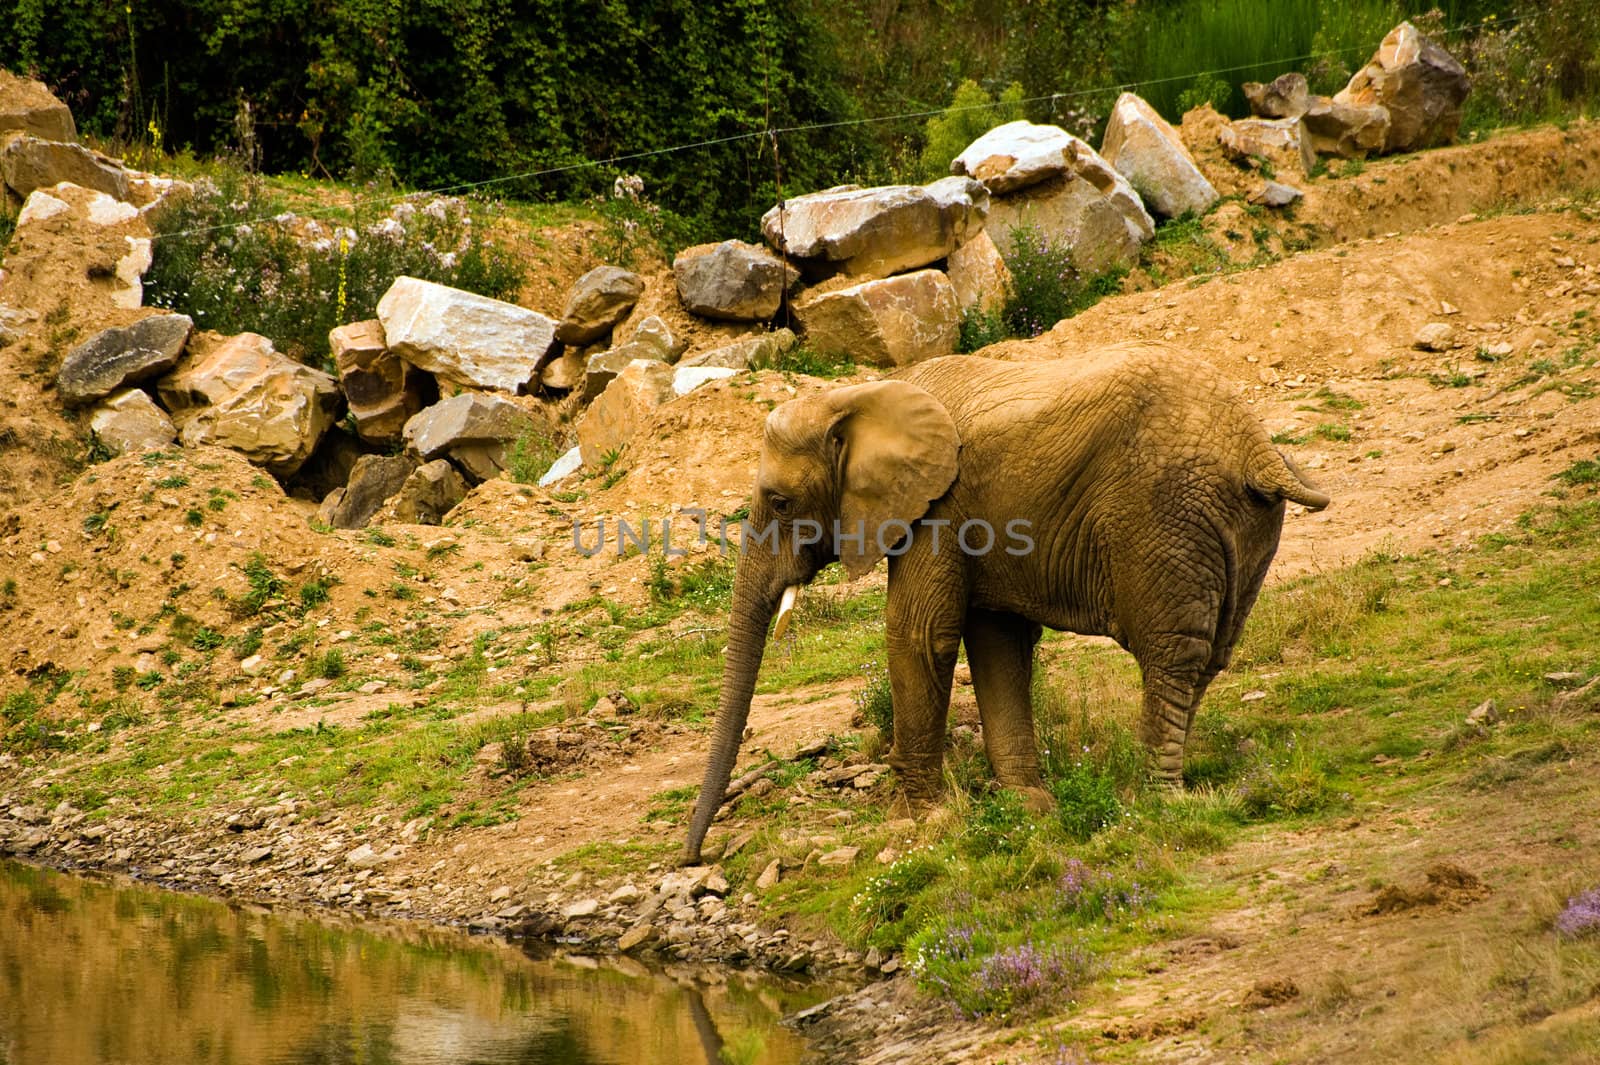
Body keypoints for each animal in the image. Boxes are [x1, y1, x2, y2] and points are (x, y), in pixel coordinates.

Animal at [681, 343, 1331, 857]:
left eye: (780, 501)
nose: (693, 857)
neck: (858, 396)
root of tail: (1259, 449)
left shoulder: (937, 509)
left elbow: (920, 634)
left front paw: (912, 823)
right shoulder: (972, 519)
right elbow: (997, 643)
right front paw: (1027, 807)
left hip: (1165, 512)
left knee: (1171, 654)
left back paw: (1150, 800)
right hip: (1242, 525)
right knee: (1211, 654)